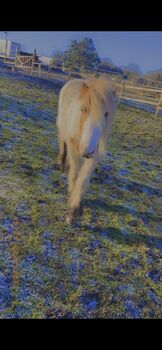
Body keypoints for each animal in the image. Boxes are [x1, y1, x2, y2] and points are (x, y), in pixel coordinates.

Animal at [56, 77, 116, 224]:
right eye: (83, 109)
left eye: (106, 114)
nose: (87, 150)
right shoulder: (73, 147)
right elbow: (75, 174)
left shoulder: (95, 153)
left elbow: (83, 178)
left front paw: (75, 209)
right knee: (62, 143)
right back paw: (61, 163)